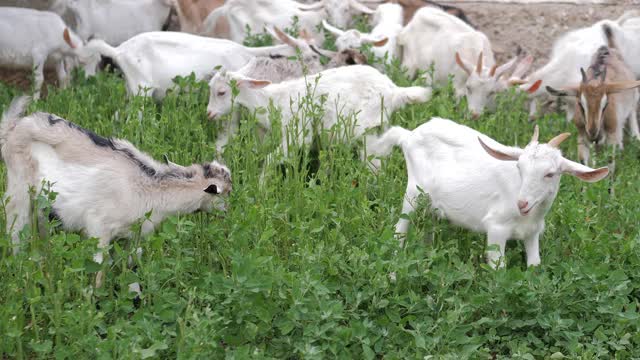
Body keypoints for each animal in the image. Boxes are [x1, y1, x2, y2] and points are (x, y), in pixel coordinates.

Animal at [0, 95, 232, 286]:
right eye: (226, 192)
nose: (228, 212)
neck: (147, 187)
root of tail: (13, 127)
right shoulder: (98, 228)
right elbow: (99, 271)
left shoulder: (132, 235)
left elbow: (132, 266)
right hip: (19, 189)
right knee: (15, 228)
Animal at [372, 118, 608, 268]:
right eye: (519, 167)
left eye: (550, 174)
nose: (522, 203)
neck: (530, 216)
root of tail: (408, 135)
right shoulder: (496, 228)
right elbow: (498, 268)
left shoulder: (532, 233)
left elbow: (535, 266)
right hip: (413, 194)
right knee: (400, 229)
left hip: (431, 204)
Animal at [544, 24, 640, 165]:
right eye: (580, 104)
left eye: (606, 104)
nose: (594, 133)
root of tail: (607, 48)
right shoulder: (582, 137)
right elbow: (583, 161)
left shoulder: (610, 137)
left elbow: (609, 161)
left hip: (633, 94)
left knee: (632, 111)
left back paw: (635, 138)